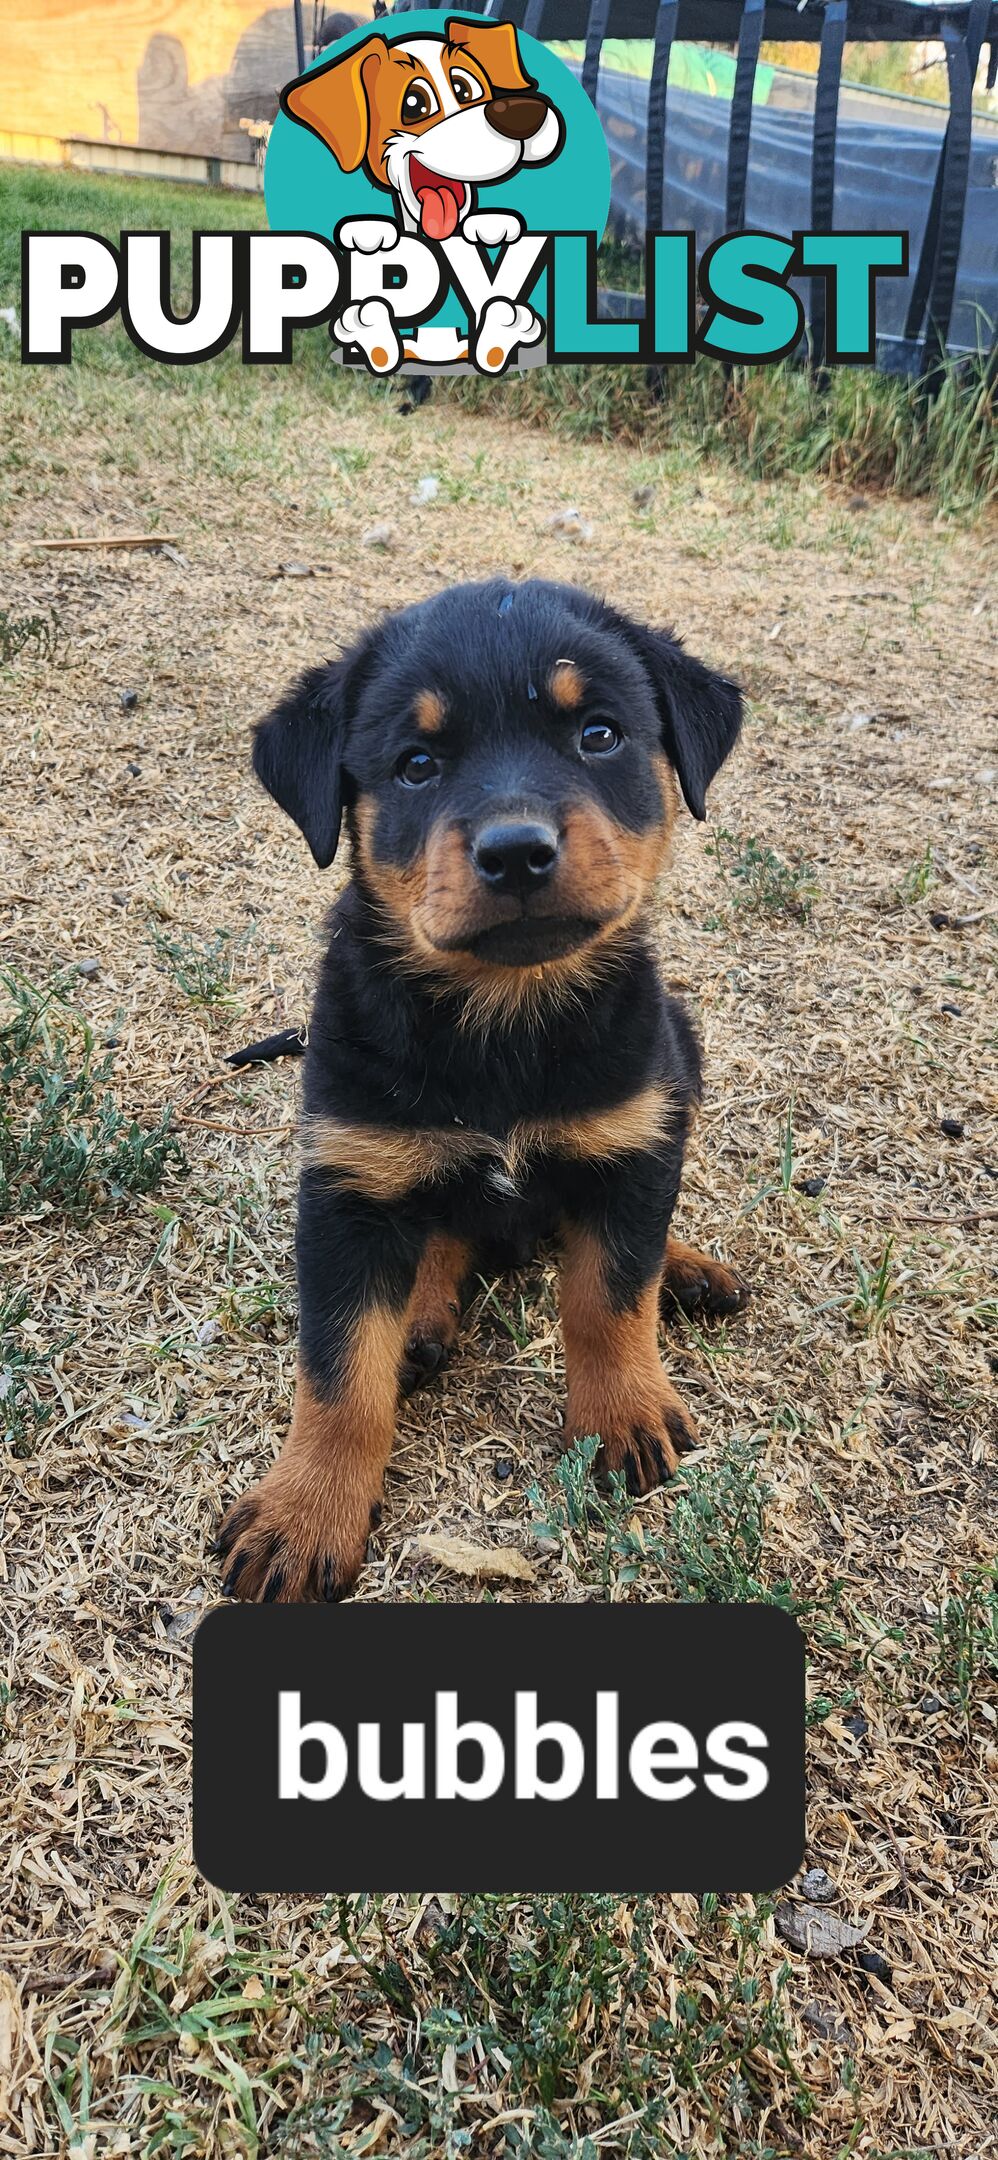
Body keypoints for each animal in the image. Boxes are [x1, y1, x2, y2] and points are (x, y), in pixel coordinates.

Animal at [218, 574, 747, 1607]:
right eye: (417, 764)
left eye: (599, 735)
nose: (515, 852)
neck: (503, 1020)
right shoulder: (343, 1183)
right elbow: (337, 1367)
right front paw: (305, 1512)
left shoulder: (631, 1139)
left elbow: (609, 1290)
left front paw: (622, 1411)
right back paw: (422, 1310)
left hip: (681, 1053)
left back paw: (689, 1270)